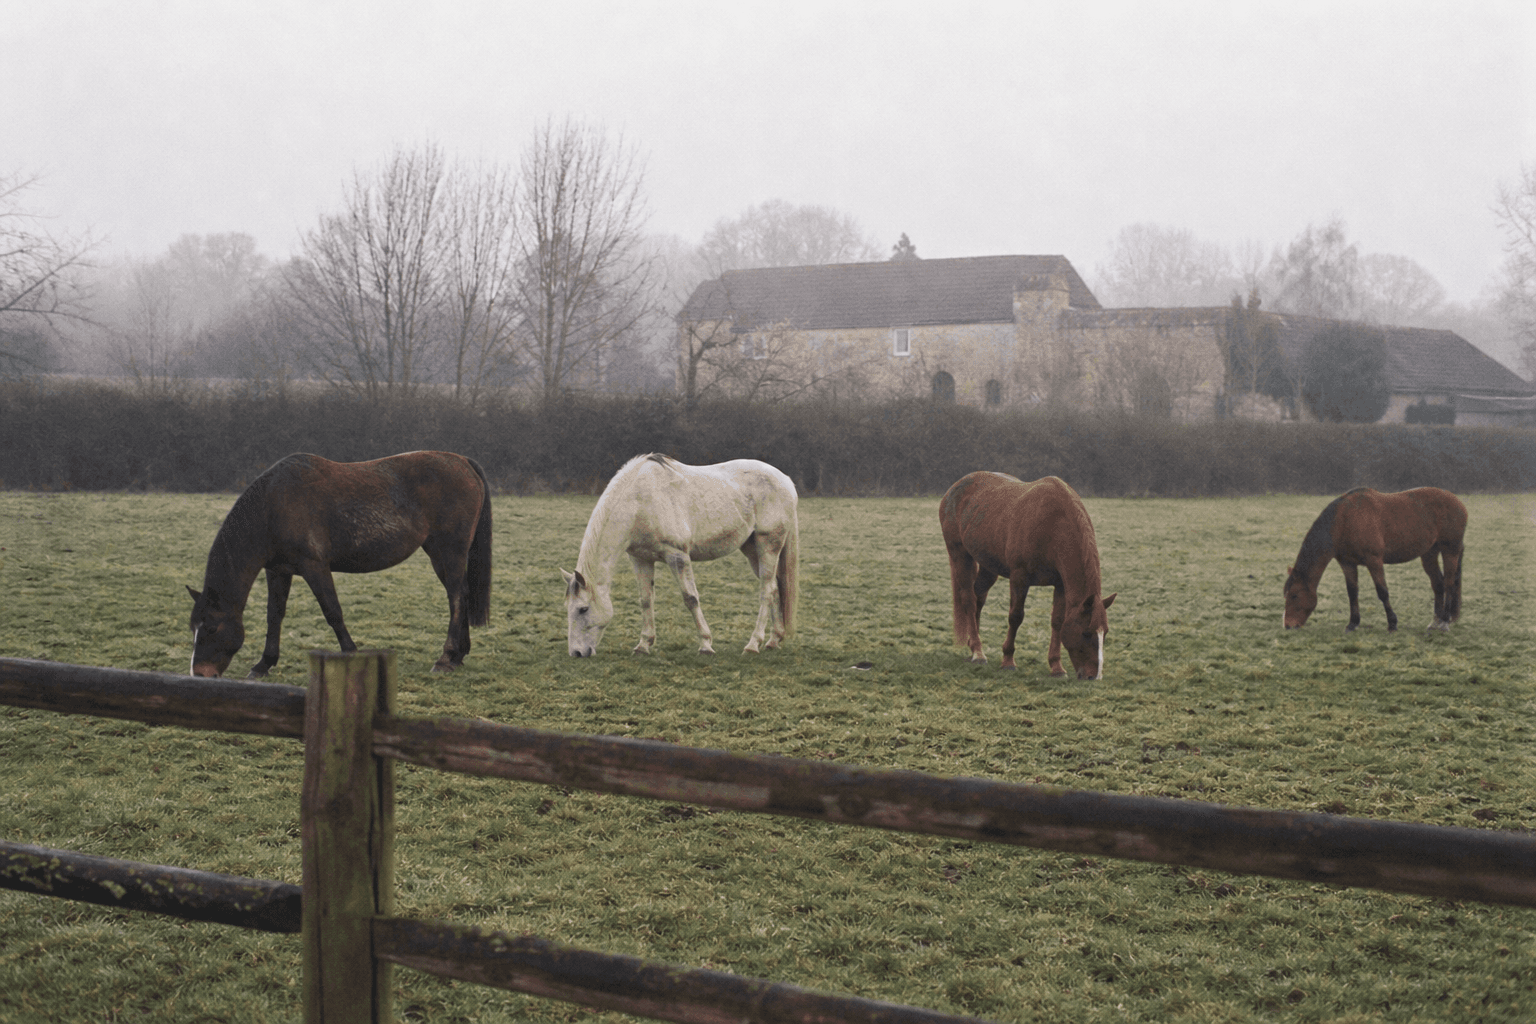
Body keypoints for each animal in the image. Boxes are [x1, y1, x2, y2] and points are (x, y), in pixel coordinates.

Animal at [187, 451, 492, 678]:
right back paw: (459, 655)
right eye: (193, 629)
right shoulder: (278, 571)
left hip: (448, 552)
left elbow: (332, 612)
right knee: (461, 595)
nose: (199, 674)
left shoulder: (314, 567)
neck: (274, 506)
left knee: (456, 598)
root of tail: (463, 462)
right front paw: (264, 663)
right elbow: (274, 615)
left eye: (211, 628)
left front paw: (351, 652)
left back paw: (446, 657)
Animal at [562, 453, 799, 657]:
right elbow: (646, 599)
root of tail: (786, 480)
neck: (639, 502)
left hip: (768, 545)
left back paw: (752, 644)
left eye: (583, 609)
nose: (576, 653)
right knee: (775, 588)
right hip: (752, 550)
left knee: (766, 591)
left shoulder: (677, 556)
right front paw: (643, 645)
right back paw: (773, 640)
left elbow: (691, 598)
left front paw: (705, 645)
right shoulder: (641, 559)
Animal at [939, 472, 1115, 679]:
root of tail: (953, 490)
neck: (1053, 524)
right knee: (969, 599)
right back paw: (978, 652)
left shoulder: (1060, 585)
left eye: (1105, 633)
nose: (1094, 676)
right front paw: (1008, 661)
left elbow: (1057, 621)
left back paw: (973, 646)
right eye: (1086, 633)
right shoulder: (1019, 578)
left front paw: (1056, 667)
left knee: (978, 598)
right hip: (960, 554)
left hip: (989, 566)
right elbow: (1015, 617)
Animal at [1283, 486, 1466, 632]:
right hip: (1429, 553)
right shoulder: (1347, 563)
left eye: (1294, 595)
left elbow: (1382, 591)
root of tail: (1458, 502)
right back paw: (1435, 622)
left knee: (1449, 583)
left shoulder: (1374, 561)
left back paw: (1444, 622)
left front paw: (1392, 624)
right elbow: (1352, 592)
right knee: (1438, 584)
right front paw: (1352, 623)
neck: (1344, 520)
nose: (1288, 625)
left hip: (1450, 551)